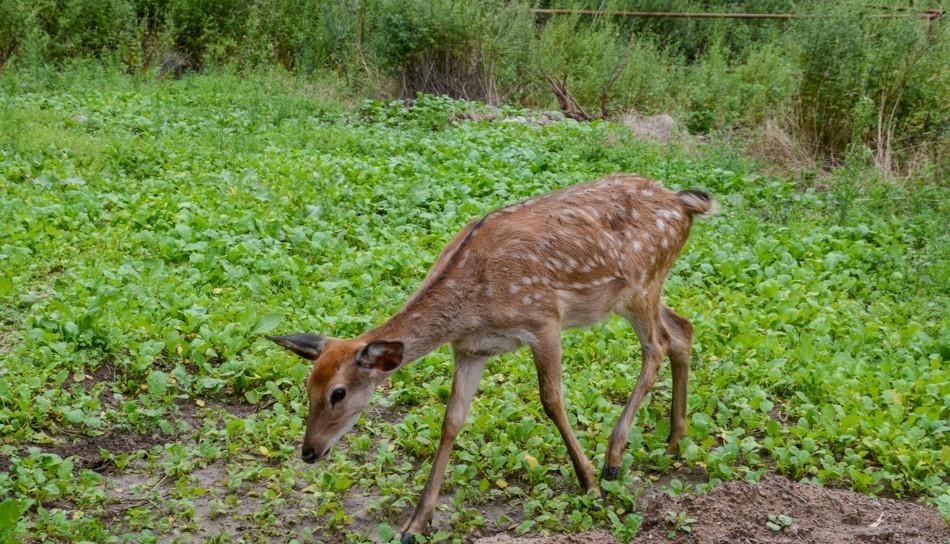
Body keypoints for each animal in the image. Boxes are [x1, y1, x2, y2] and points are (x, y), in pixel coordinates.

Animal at [268, 173, 712, 540]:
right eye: (308, 388)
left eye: (338, 393)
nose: (309, 452)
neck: (470, 307)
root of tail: (684, 203)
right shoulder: (470, 350)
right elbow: (451, 421)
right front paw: (415, 524)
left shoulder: (544, 320)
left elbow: (552, 400)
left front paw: (587, 482)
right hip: (644, 291)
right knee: (682, 330)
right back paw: (675, 440)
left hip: (640, 284)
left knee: (655, 347)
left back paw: (614, 458)